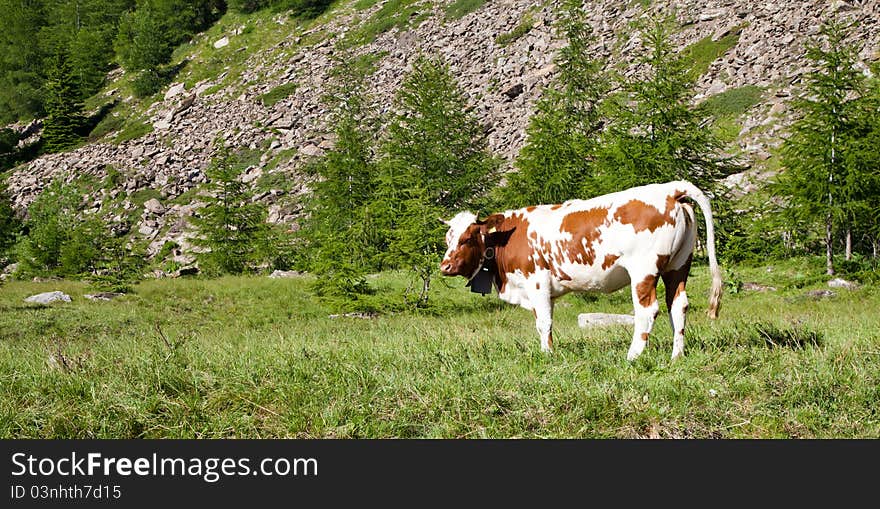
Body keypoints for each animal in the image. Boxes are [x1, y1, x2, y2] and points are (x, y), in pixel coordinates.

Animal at [440, 181, 720, 360]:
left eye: (466, 238)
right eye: (447, 238)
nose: (445, 266)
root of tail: (670, 189)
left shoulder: (537, 282)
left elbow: (544, 322)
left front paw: (548, 356)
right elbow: (543, 322)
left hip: (644, 270)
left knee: (647, 310)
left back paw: (633, 356)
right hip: (678, 265)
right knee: (678, 306)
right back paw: (677, 356)